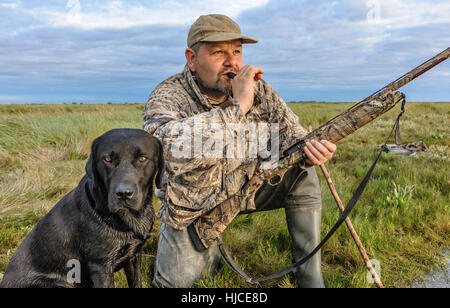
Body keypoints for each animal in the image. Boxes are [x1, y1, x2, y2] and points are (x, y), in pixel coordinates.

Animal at [0, 129, 162, 288]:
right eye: (107, 159)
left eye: (142, 159)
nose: (124, 193)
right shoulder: (101, 266)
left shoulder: (134, 255)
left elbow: (136, 282)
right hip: (57, 283)